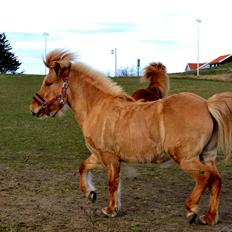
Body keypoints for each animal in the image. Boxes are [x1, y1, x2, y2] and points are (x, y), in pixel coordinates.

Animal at [29, 49, 232, 226]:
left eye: (48, 83)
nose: (33, 108)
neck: (97, 107)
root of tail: (207, 104)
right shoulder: (99, 155)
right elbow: (84, 167)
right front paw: (90, 193)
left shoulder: (109, 158)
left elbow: (112, 184)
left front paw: (110, 210)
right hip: (207, 156)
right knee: (216, 181)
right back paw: (210, 217)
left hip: (186, 159)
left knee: (204, 177)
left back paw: (191, 211)